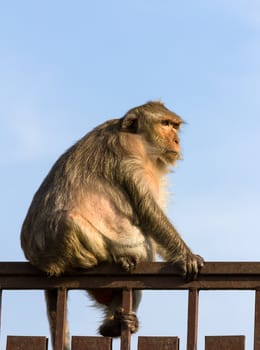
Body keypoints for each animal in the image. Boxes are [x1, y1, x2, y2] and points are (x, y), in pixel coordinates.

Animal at [20, 101, 203, 350]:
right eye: (165, 124)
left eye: (175, 126)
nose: (176, 140)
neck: (141, 143)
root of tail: (39, 263)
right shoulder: (126, 157)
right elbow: (148, 211)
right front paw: (186, 256)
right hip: (59, 250)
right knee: (70, 222)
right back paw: (116, 259)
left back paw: (113, 325)